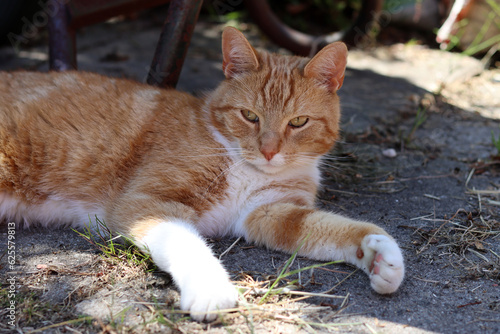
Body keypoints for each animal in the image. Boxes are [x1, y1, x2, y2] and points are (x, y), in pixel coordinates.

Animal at [0, 26, 404, 320]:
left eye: (299, 122)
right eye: (250, 116)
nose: (269, 151)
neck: (243, 163)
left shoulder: (270, 213)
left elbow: (330, 227)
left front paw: (378, 252)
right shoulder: (148, 201)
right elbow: (185, 242)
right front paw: (211, 287)